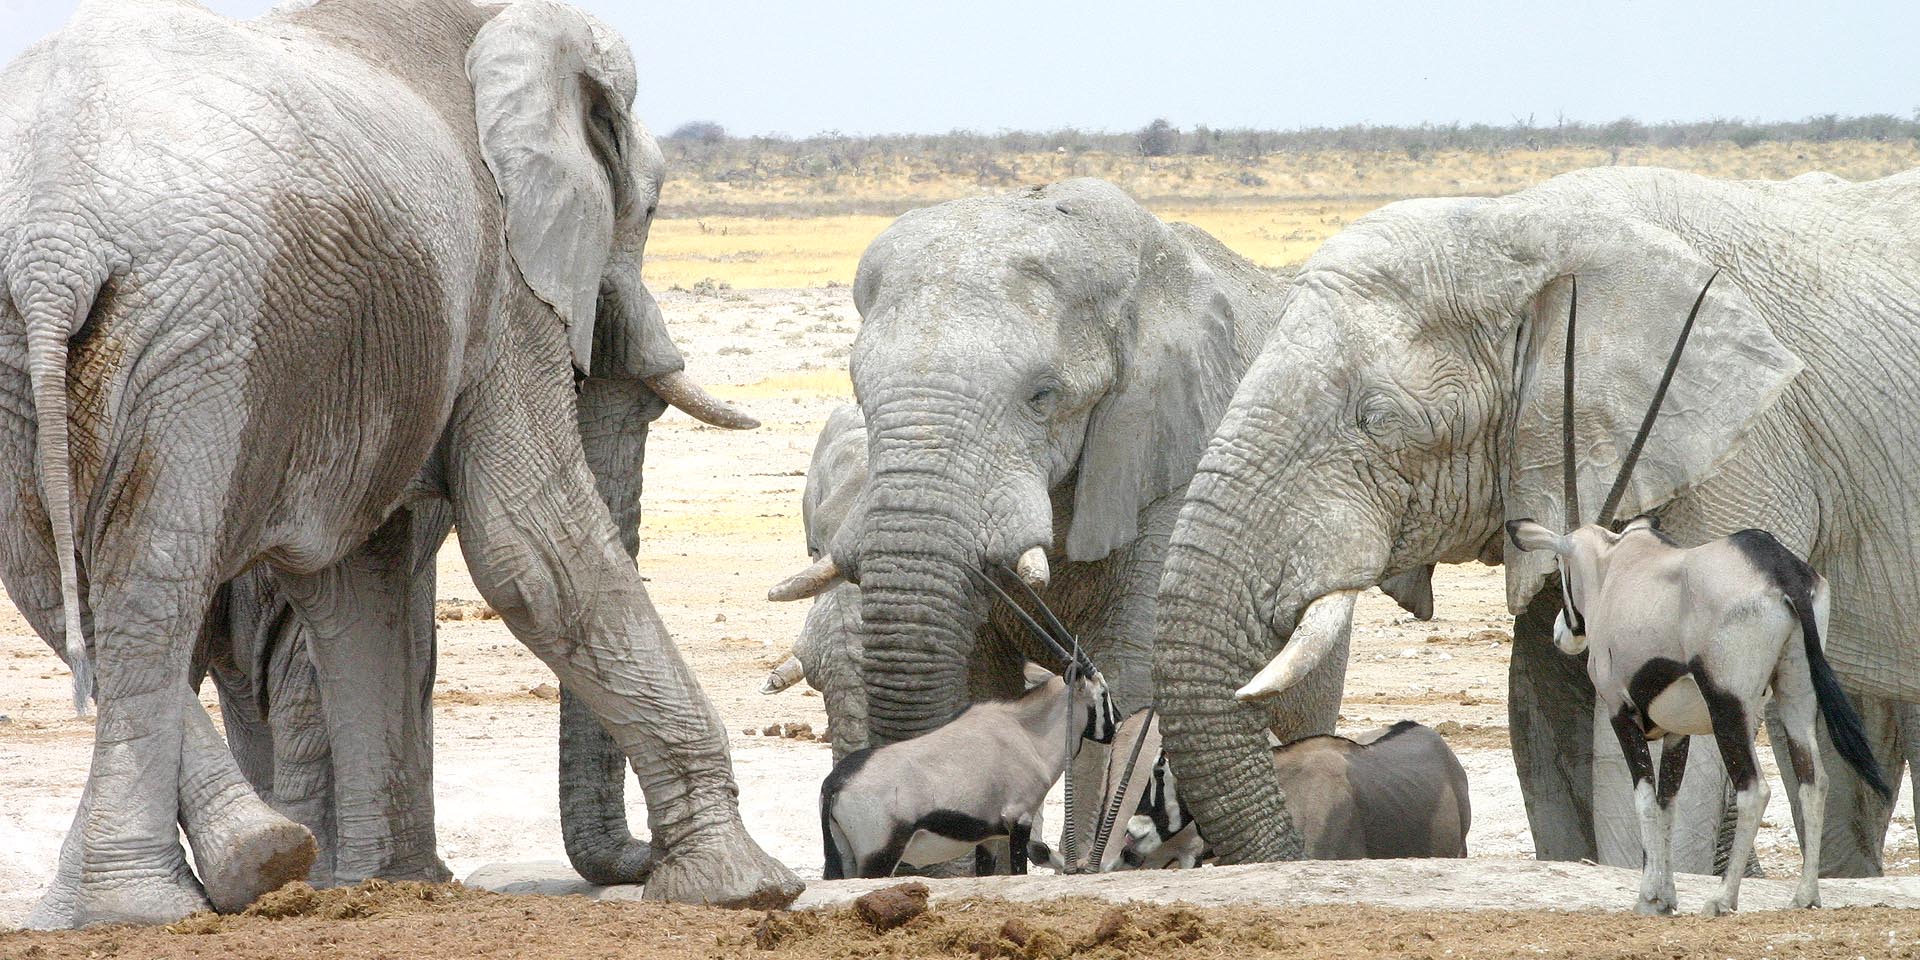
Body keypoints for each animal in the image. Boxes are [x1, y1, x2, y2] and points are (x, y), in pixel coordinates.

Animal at [0, 0, 801, 926]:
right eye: (654, 202)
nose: (634, 863)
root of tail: (51, 242)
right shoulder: (505, 280)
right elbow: (530, 548)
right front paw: (747, 887)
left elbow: (362, 587)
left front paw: (389, 885)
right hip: (206, 334)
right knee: (151, 579)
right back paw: (162, 898)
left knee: (55, 584)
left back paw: (171, 885)